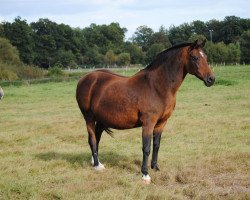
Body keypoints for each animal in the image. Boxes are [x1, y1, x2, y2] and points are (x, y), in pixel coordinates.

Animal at [75, 39, 215, 183]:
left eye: (206, 57)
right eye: (195, 57)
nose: (211, 79)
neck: (157, 86)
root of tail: (84, 78)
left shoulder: (161, 123)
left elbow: (156, 145)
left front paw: (155, 167)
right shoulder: (148, 123)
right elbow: (146, 148)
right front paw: (145, 174)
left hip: (101, 120)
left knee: (97, 138)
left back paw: (96, 162)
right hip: (89, 117)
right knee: (92, 139)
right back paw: (97, 165)